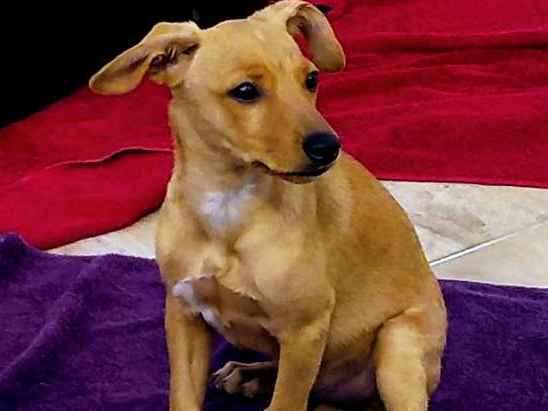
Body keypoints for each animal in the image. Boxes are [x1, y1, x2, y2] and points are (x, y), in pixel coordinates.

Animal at [89, 1, 447, 410]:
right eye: (246, 91)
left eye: (311, 79)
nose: (328, 147)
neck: (227, 208)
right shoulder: (183, 313)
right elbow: (183, 395)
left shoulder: (304, 331)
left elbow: (285, 401)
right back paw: (251, 375)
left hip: (397, 346)